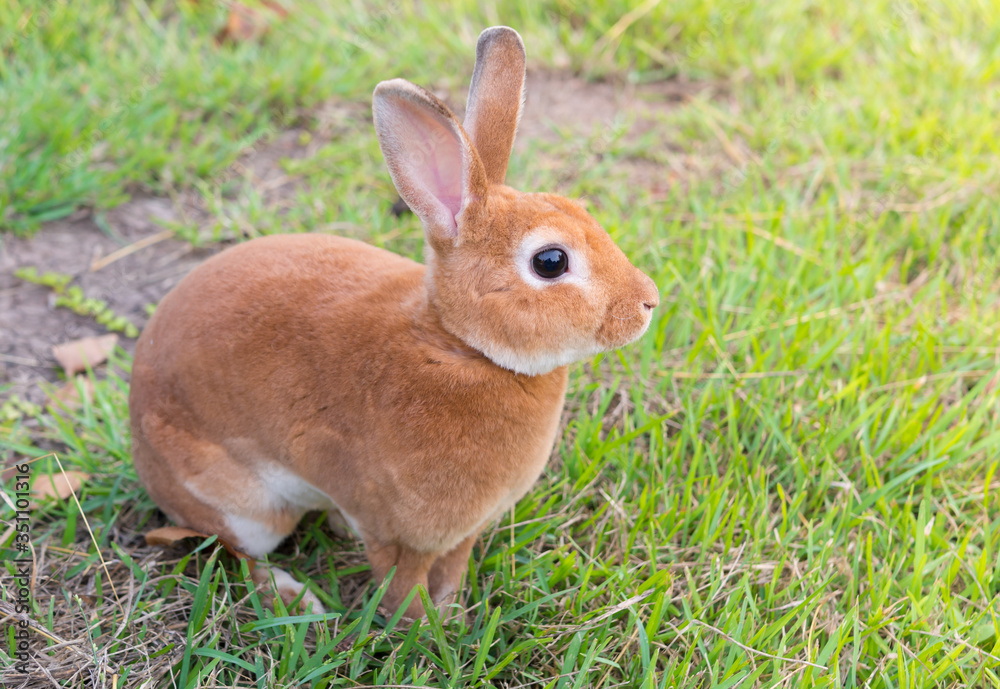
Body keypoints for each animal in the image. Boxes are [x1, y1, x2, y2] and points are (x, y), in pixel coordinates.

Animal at [129, 26, 659, 620]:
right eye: (550, 261)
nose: (648, 301)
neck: (461, 347)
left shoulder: (463, 531)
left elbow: (452, 568)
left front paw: (450, 613)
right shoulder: (391, 528)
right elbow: (400, 581)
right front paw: (420, 627)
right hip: (243, 505)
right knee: (235, 551)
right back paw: (295, 599)